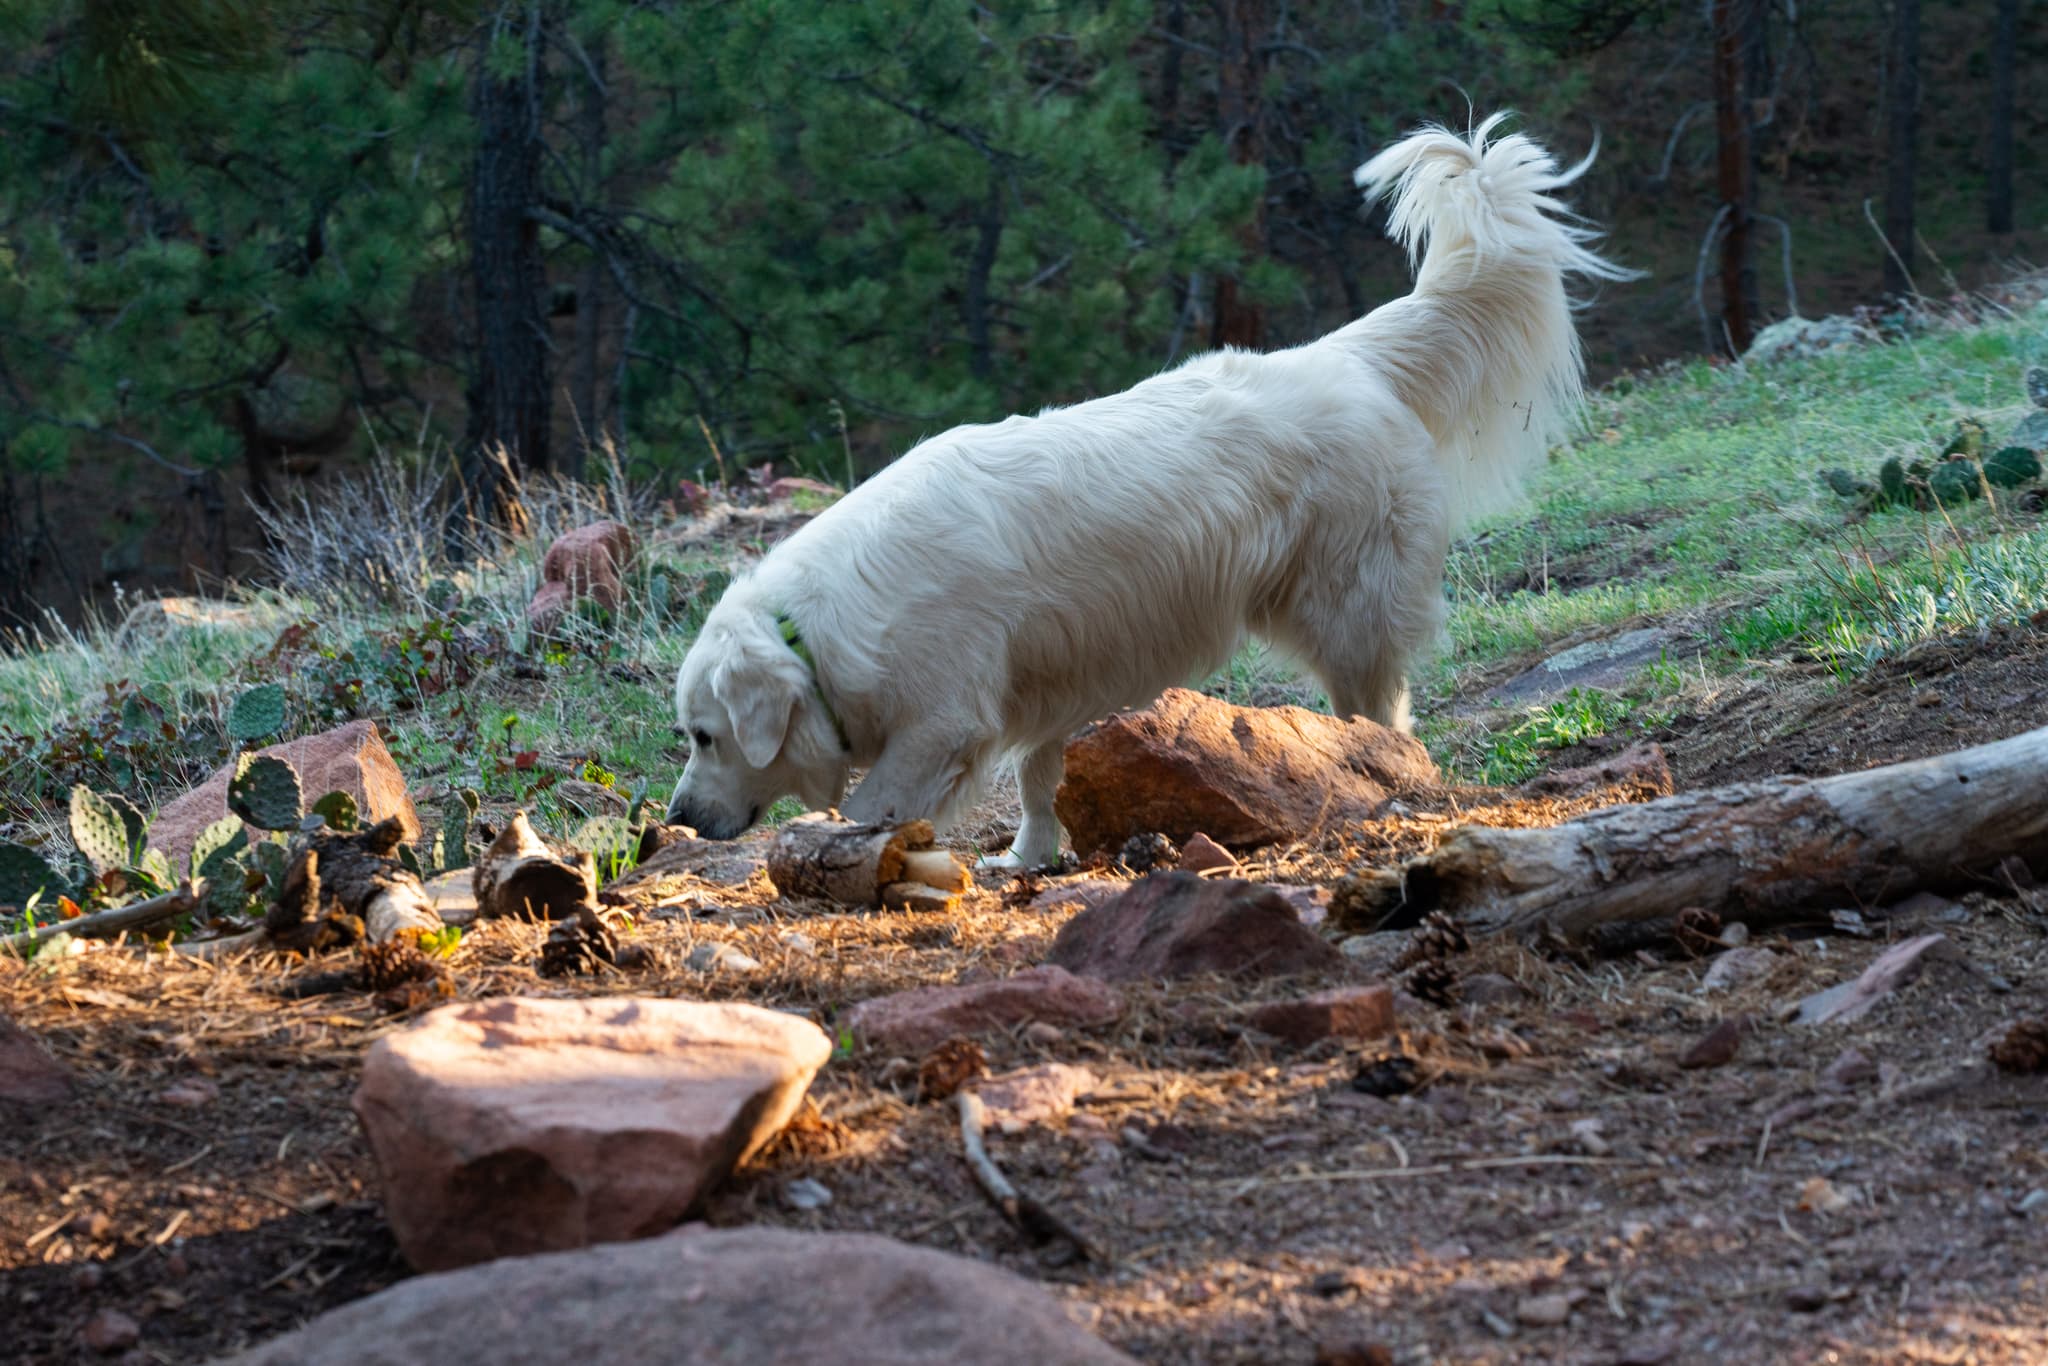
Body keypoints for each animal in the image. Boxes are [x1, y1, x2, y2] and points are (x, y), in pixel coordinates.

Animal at [671, 114, 1630, 864]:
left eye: (704, 735)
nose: (679, 818)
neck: (814, 630)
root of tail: (1345, 355)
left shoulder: (944, 721)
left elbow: (879, 804)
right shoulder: (1050, 681)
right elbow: (1041, 778)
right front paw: (1029, 856)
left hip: (1346, 609)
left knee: (1381, 710)